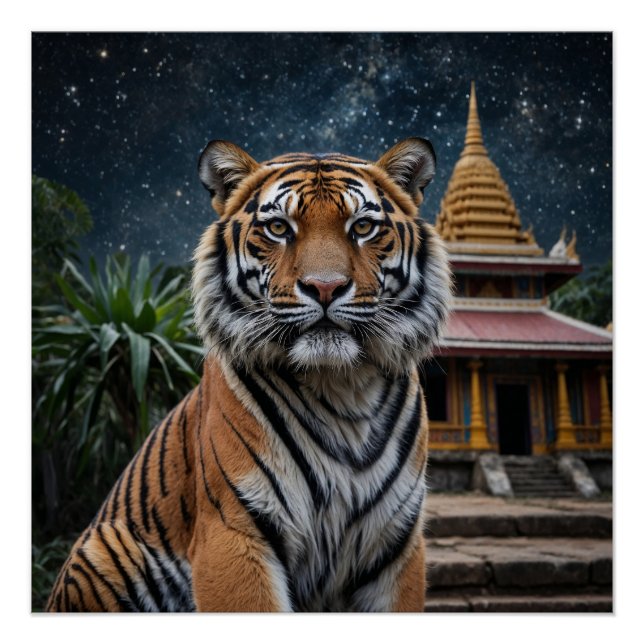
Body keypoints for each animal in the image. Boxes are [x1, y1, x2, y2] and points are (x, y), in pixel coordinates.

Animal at [45, 136, 452, 612]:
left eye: (363, 227)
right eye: (278, 228)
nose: (325, 287)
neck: (341, 387)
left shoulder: (396, 546)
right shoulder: (234, 532)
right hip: (102, 552)